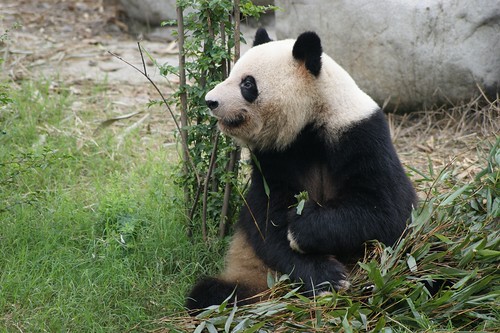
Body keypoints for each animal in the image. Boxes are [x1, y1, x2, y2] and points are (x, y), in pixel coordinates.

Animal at [186, 28, 416, 314]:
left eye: (247, 84)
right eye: (232, 74)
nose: (210, 101)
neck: (311, 122)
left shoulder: (361, 134)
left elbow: (386, 209)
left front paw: (301, 228)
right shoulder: (274, 159)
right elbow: (267, 220)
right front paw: (328, 277)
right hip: (249, 274)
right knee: (210, 294)